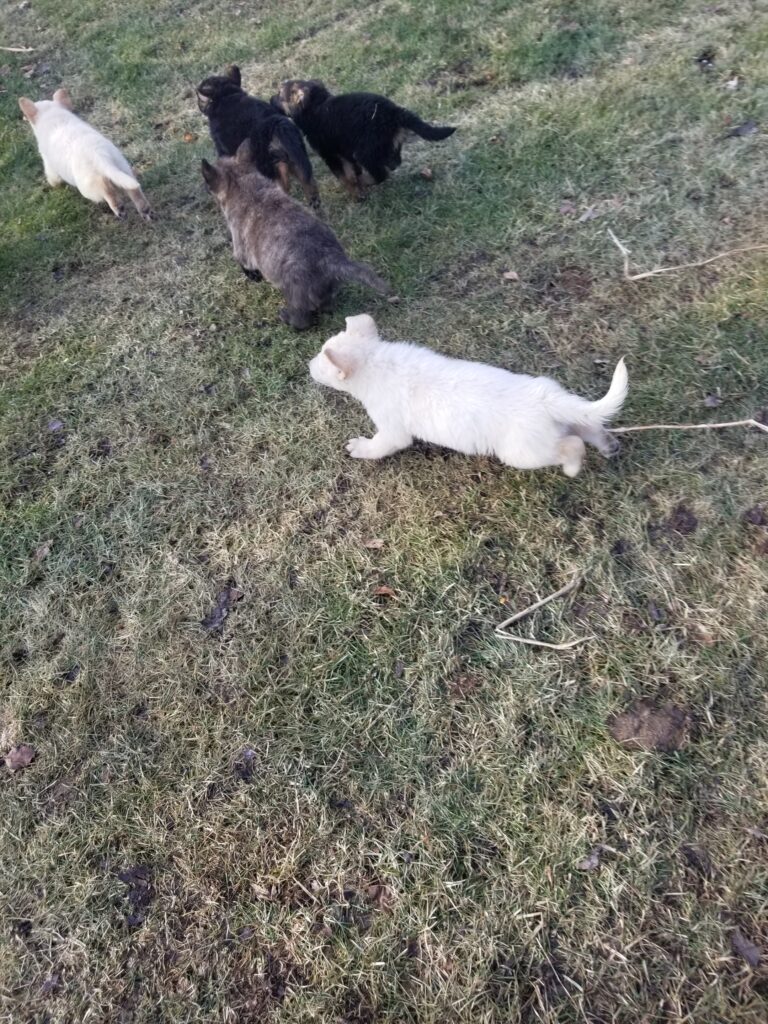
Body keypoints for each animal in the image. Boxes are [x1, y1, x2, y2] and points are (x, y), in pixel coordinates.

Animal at [18, 89, 153, 222]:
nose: (23, 118)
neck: (53, 115)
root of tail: (99, 154)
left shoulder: (49, 164)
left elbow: (53, 178)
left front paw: (54, 186)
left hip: (88, 187)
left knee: (107, 191)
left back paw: (119, 209)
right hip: (122, 168)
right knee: (133, 189)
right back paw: (145, 210)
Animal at [198, 63, 321, 207]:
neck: (226, 96)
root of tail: (274, 126)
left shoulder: (223, 149)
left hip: (270, 169)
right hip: (298, 160)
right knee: (310, 187)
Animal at [201, 140, 391, 329]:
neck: (242, 182)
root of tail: (332, 260)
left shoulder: (241, 247)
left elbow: (243, 263)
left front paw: (254, 277)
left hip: (294, 292)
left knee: (302, 319)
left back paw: (287, 318)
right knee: (326, 305)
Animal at [274, 78, 456, 198]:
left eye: (280, 95)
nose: (271, 98)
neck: (316, 106)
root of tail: (394, 113)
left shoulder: (330, 154)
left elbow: (344, 176)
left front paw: (356, 193)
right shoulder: (344, 150)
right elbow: (352, 171)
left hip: (364, 151)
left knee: (380, 174)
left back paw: (365, 181)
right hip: (387, 145)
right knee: (393, 163)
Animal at [309, 313, 626, 477]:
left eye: (322, 361)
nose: (308, 365)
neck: (375, 359)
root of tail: (546, 401)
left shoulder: (392, 431)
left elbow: (378, 446)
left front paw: (359, 448)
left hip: (523, 453)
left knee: (572, 445)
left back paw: (572, 467)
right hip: (565, 419)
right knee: (589, 426)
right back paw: (609, 445)